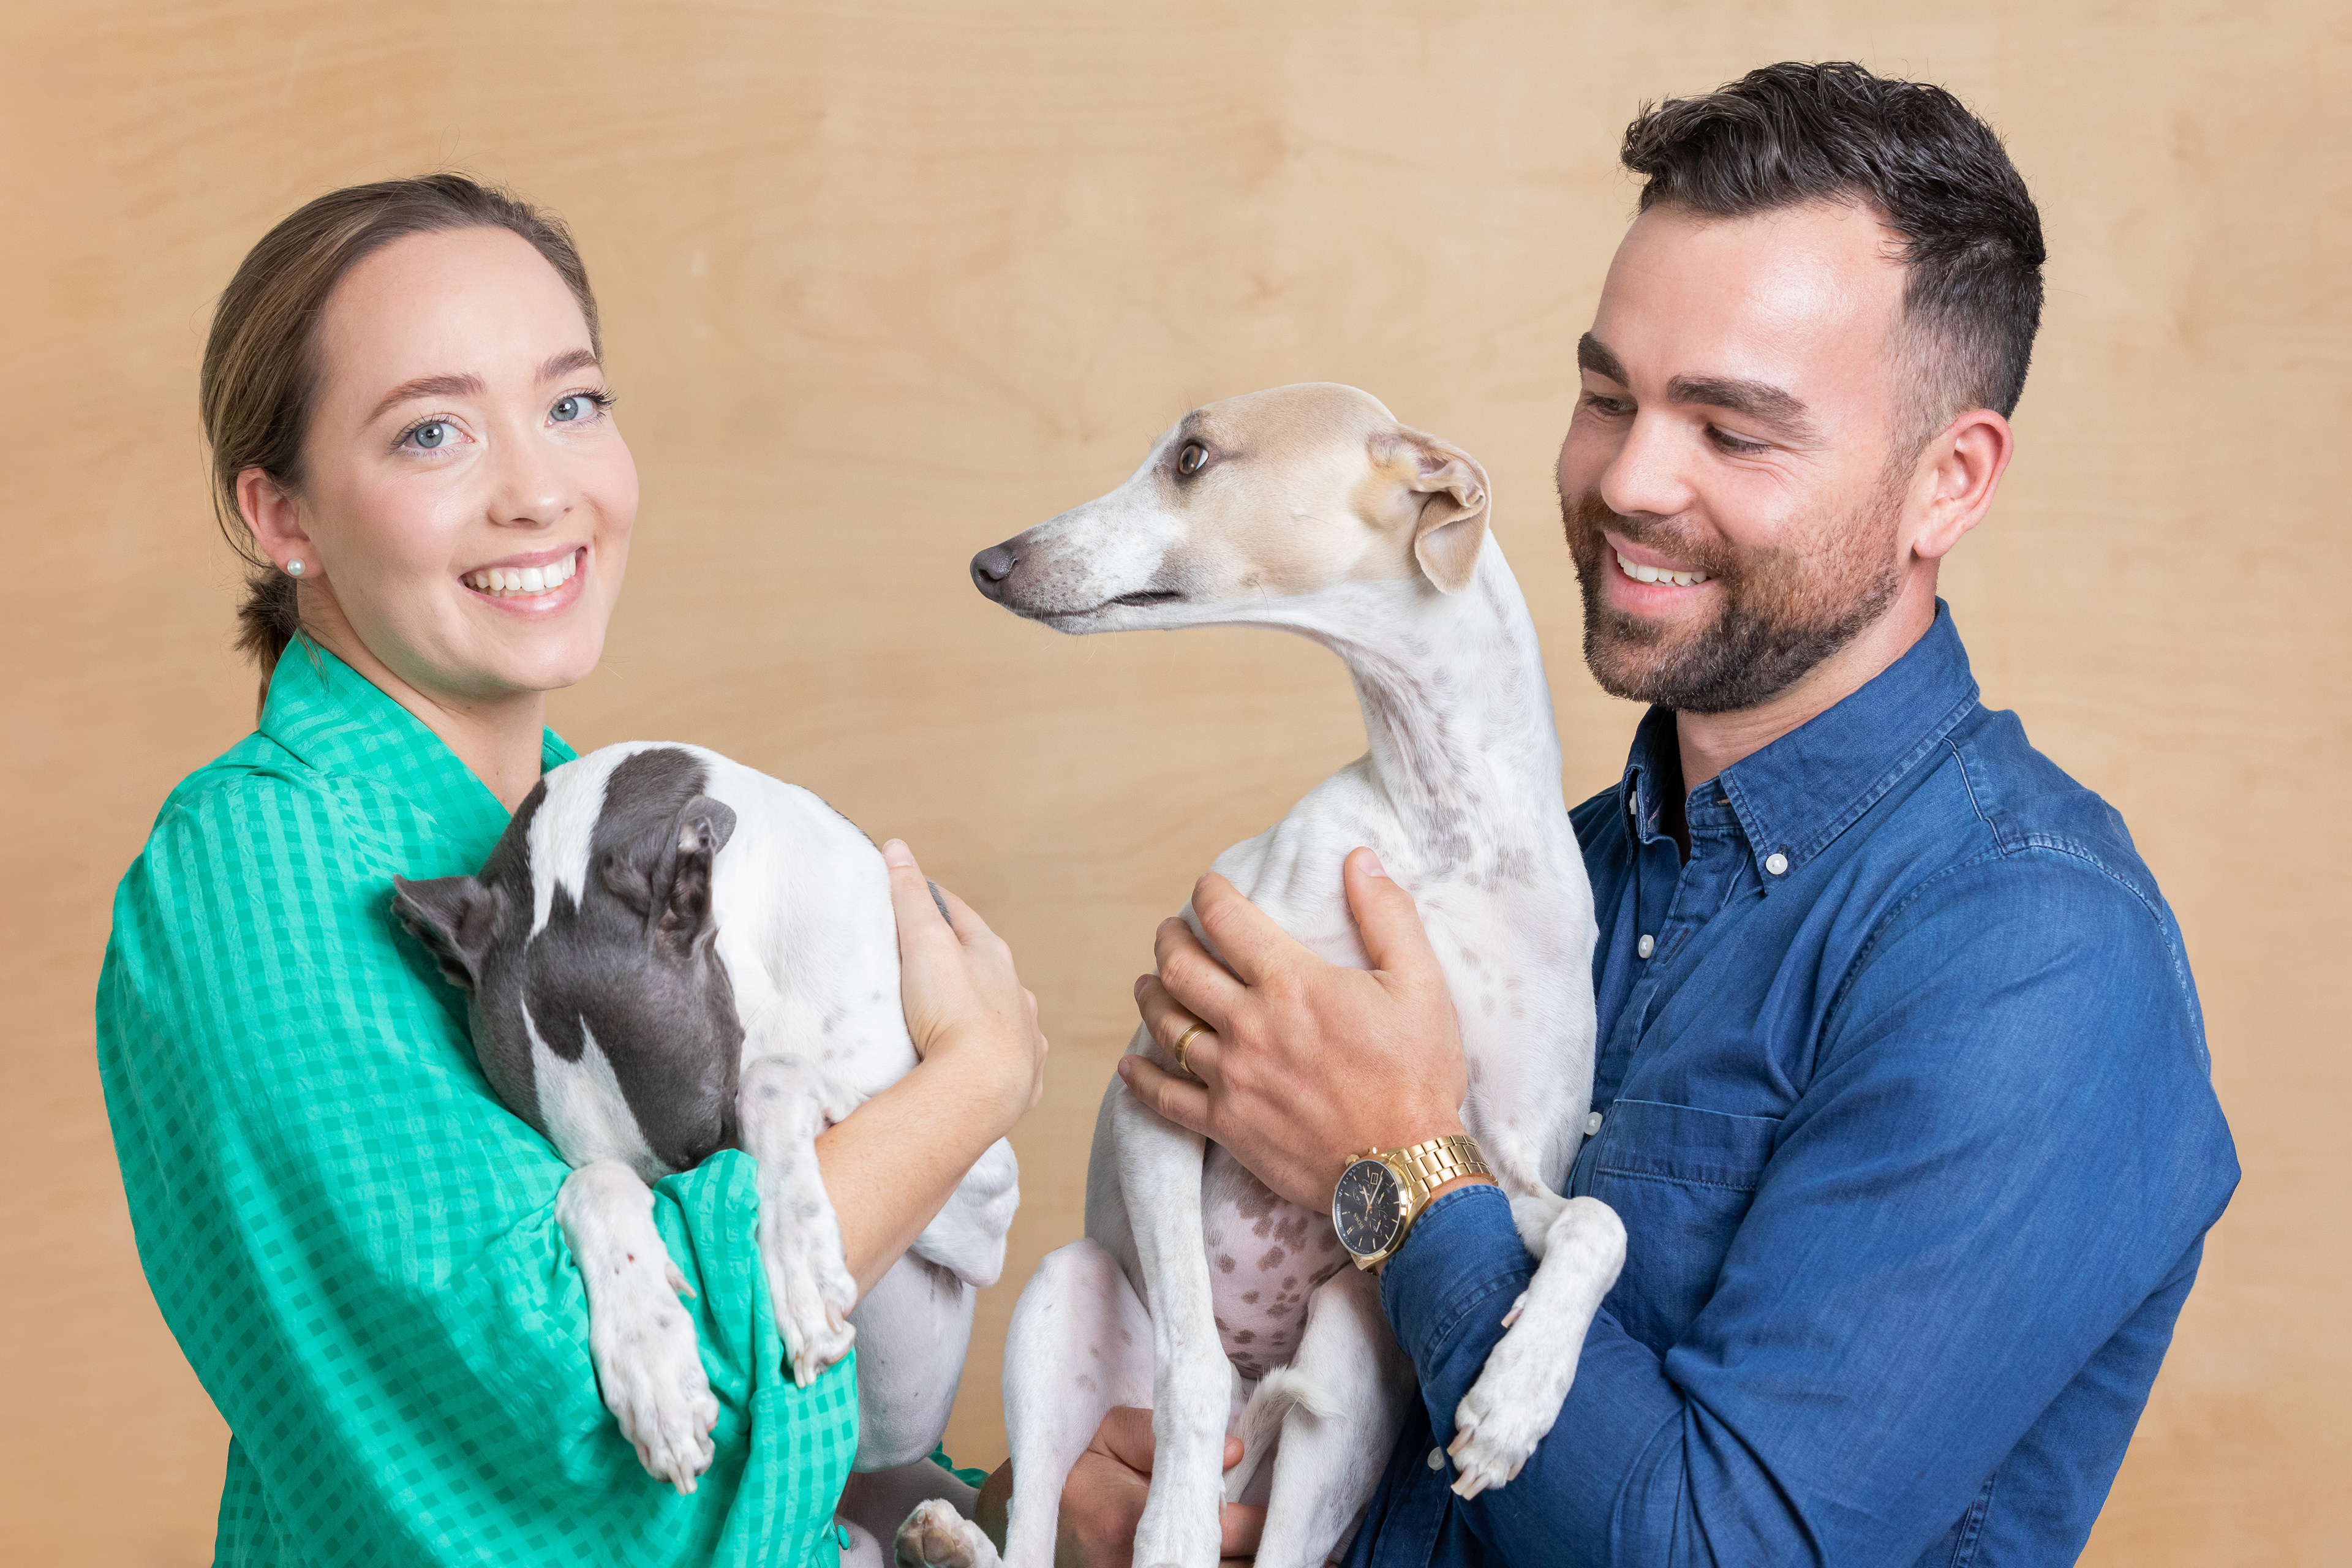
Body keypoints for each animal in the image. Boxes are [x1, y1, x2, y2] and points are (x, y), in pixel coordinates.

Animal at [393, 744, 1019, 1562]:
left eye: (706, 1142)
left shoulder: (987, 1184)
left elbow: (768, 1080)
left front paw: (801, 1270)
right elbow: (598, 1183)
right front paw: (651, 1358)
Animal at [895, 385, 1626, 1568]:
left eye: (1193, 458)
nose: (991, 562)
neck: (1444, 831)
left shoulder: (1504, 1164)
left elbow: (1601, 1223)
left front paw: (1517, 1400)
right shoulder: (1160, 1095)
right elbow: (1190, 1368)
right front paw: (1173, 1530)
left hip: (1352, 1365)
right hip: (1065, 1295)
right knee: (1041, 1525)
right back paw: (964, 1537)